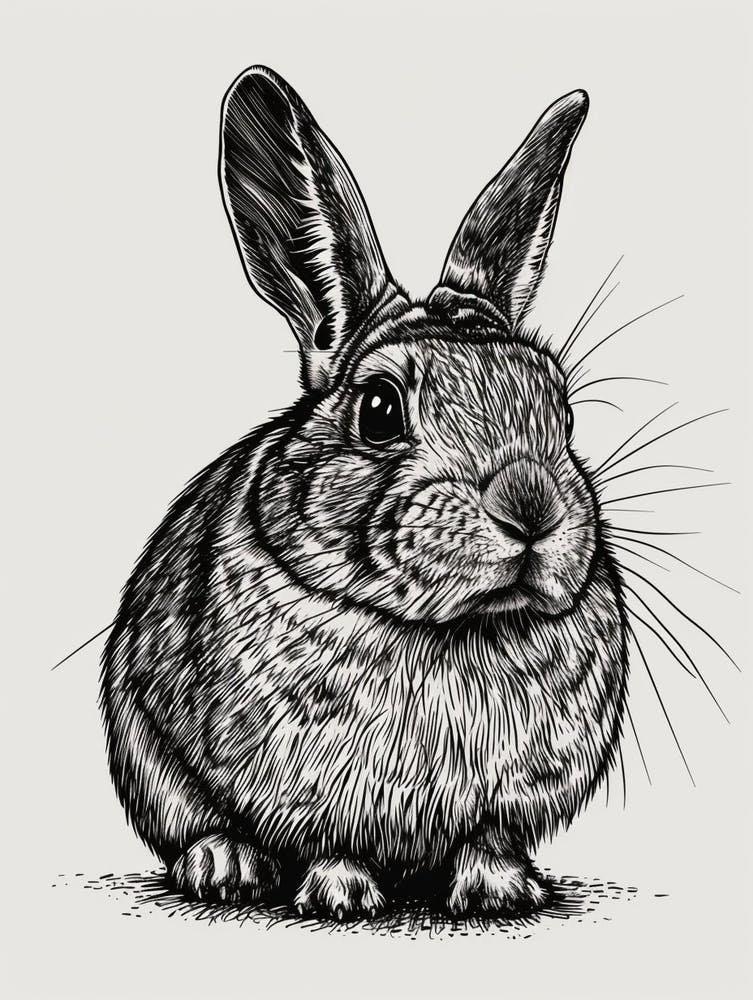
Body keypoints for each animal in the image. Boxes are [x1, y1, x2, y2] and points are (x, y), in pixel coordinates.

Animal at [101, 65, 628, 920]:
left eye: (561, 407)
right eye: (379, 410)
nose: (530, 506)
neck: (448, 631)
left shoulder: (512, 800)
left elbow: (489, 838)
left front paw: (499, 890)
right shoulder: (300, 785)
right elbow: (328, 838)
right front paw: (341, 893)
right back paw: (224, 866)